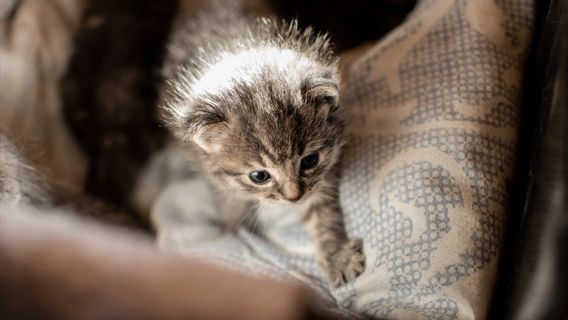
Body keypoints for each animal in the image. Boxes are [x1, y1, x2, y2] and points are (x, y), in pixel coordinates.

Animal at [160, 1, 364, 286]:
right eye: (259, 176)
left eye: (309, 160)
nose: (294, 197)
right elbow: (229, 199)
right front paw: (236, 226)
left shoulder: (322, 174)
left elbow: (322, 210)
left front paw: (336, 255)